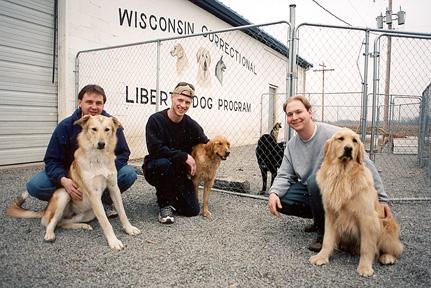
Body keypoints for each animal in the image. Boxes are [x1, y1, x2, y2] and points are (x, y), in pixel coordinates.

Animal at [5, 115, 141, 250]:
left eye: (107, 129)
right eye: (94, 129)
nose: (101, 144)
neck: (99, 158)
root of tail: (45, 209)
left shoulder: (113, 188)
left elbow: (122, 212)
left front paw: (129, 229)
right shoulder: (94, 194)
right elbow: (105, 222)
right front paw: (113, 241)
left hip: (89, 213)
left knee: (62, 223)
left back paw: (83, 226)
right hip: (64, 194)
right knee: (50, 222)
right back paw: (49, 234)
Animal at [310, 128, 404, 276]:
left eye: (354, 140)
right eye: (340, 139)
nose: (348, 148)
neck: (342, 174)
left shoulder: (367, 218)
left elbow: (366, 247)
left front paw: (365, 267)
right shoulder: (331, 215)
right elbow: (327, 239)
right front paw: (322, 256)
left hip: (387, 225)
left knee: (396, 249)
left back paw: (387, 257)